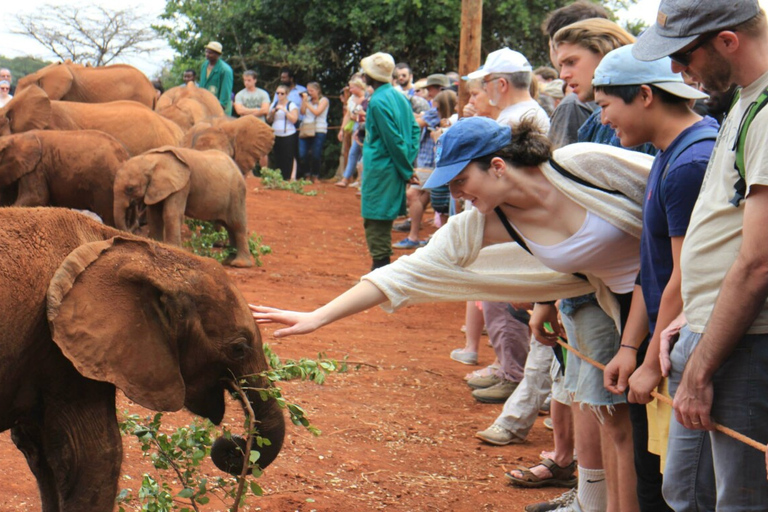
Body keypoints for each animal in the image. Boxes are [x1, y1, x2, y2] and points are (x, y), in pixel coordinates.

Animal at [112, 144, 254, 264]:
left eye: (130, 189)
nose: (133, 231)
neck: (153, 160)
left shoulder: (183, 184)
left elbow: (171, 213)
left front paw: (173, 248)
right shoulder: (155, 188)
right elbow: (154, 216)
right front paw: (156, 243)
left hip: (237, 193)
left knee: (237, 225)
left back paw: (239, 264)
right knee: (229, 227)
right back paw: (228, 261)